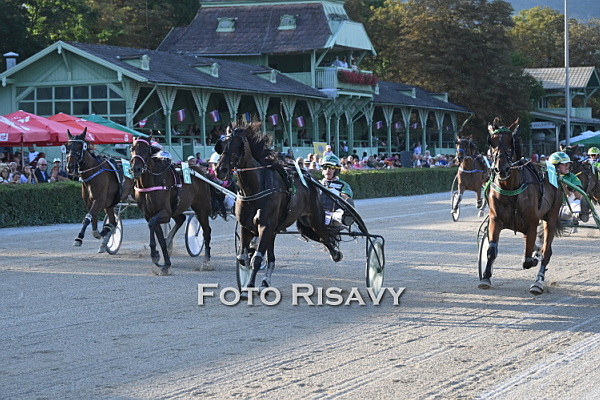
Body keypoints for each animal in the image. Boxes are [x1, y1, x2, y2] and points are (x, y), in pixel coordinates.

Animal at [129, 138, 213, 275]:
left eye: (146, 149)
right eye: (132, 148)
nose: (136, 169)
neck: (151, 182)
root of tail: (201, 171)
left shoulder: (165, 213)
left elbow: (152, 224)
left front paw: (155, 255)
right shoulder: (150, 214)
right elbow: (159, 237)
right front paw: (165, 263)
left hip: (202, 208)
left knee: (206, 231)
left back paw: (206, 262)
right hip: (178, 208)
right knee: (181, 219)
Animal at [214, 121, 342, 289]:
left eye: (238, 145)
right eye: (222, 145)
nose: (220, 170)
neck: (255, 189)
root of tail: (310, 179)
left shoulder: (266, 226)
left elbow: (257, 259)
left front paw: (250, 284)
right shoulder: (246, 226)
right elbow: (243, 258)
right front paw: (247, 273)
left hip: (313, 220)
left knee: (324, 235)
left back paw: (336, 254)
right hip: (282, 228)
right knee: (272, 257)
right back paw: (265, 280)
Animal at [480, 118, 562, 295]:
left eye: (510, 142)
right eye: (492, 142)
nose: (501, 168)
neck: (511, 189)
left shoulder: (532, 223)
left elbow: (528, 259)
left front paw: (535, 258)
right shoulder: (495, 220)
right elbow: (491, 250)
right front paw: (485, 277)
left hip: (551, 217)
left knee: (546, 251)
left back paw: (538, 282)